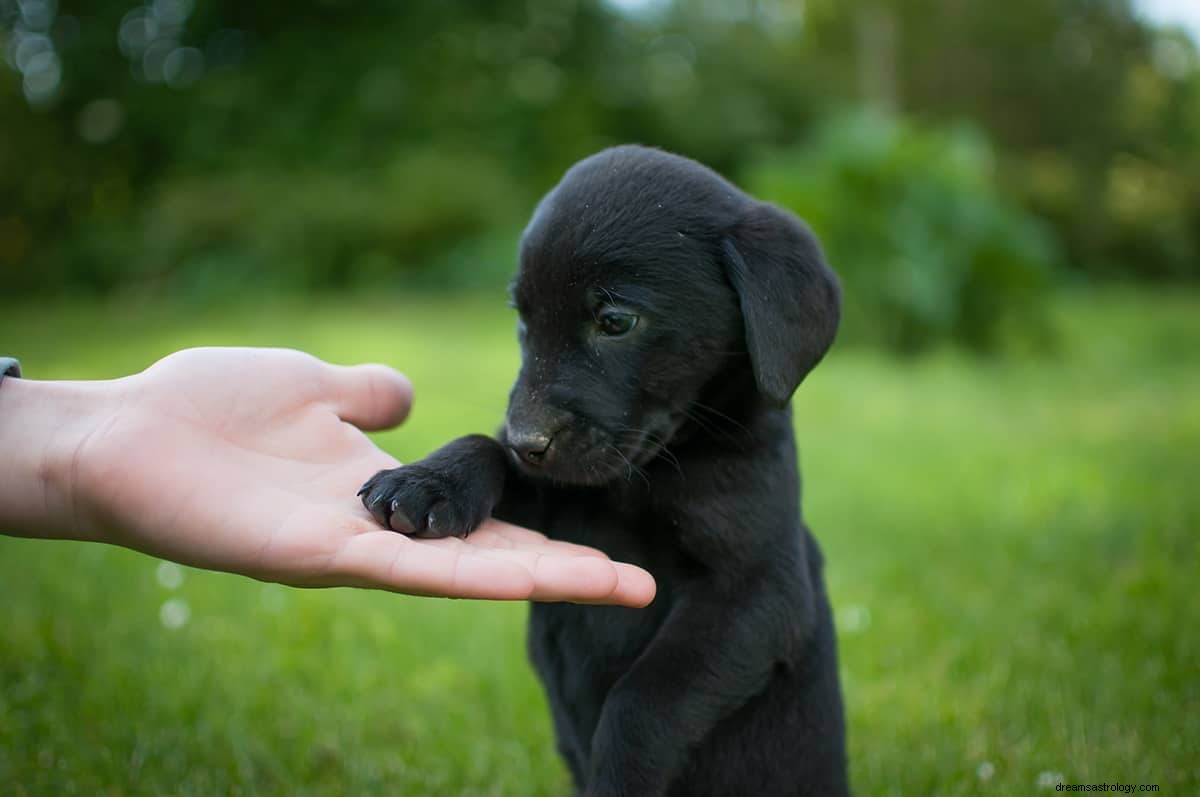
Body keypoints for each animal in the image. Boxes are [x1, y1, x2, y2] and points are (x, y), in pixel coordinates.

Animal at [360, 144, 849, 797]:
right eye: (524, 322)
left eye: (615, 321)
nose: (526, 440)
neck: (645, 477)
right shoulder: (555, 497)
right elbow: (482, 448)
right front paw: (429, 482)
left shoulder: (758, 589)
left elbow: (640, 703)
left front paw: (619, 774)